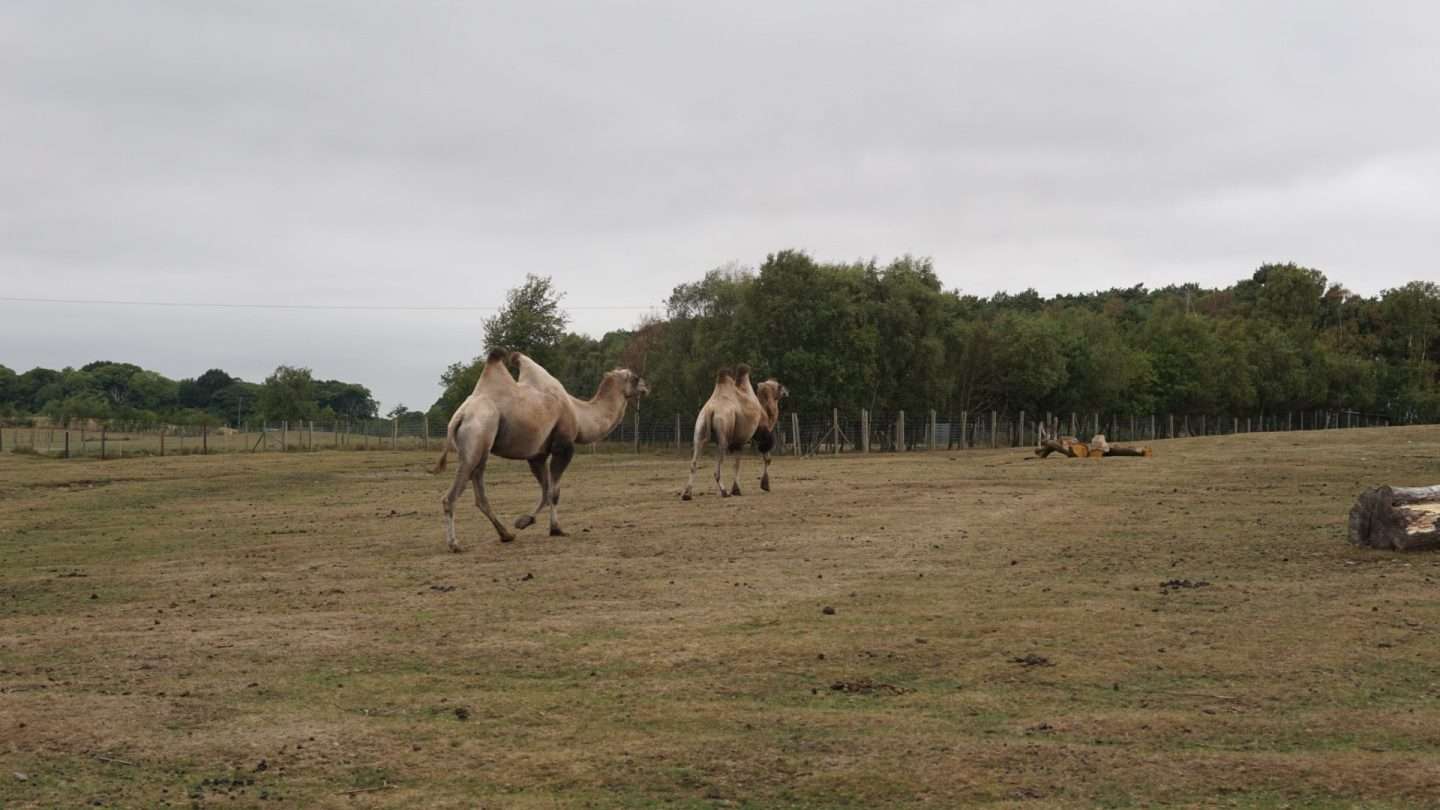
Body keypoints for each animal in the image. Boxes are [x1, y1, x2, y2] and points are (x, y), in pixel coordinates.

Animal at [431, 348, 577, 551]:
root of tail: (460, 416)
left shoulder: (538, 454)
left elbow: (548, 489)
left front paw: (528, 521)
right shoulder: (563, 445)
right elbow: (553, 492)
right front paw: (556, 529)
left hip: (473, 449)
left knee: (479, 495)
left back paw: (506, 534)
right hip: (478, 443)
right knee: (452, 496)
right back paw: (455, 544)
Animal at [681, 364, 788, 500]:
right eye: (780, 385)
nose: (787, 391)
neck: (765, 411)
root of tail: (711, 410)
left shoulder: (739, 442)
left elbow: (736, 464)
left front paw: (736, 490)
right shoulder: (761, 434)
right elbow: (767, 458)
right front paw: (765, 485)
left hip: (699, 429)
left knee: (694, 462)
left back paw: (687, 494)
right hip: (723, 433)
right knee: (718, 466)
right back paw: (724, 491)